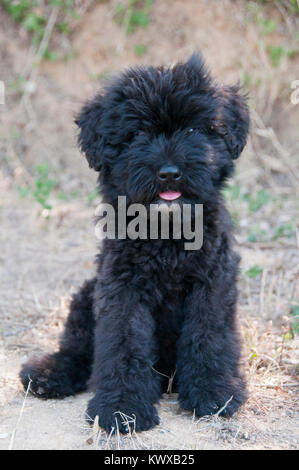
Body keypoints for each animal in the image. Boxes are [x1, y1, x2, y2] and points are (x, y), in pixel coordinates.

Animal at [21, 53, 250, 432]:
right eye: (138, 133)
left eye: (193, 129)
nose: (169, 173)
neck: (166, 234)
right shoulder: (123, 288)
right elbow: (123, 344)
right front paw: (121, 408)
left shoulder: (212, 283)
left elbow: (209, 336)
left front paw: (214, 394)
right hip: (87, 294)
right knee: (76, 349)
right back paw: (46, 375)